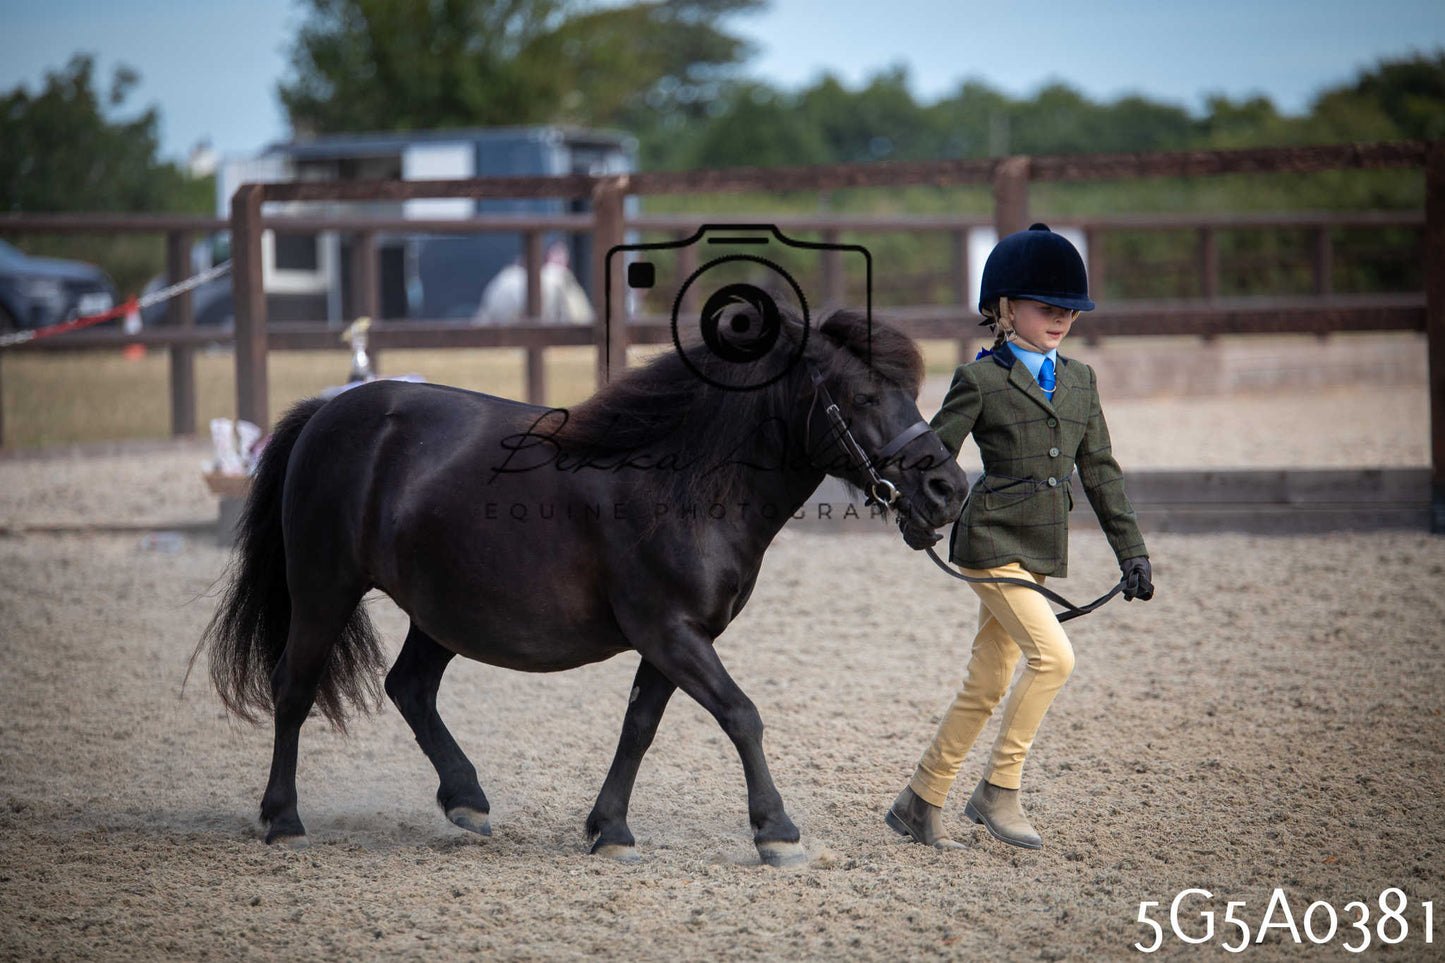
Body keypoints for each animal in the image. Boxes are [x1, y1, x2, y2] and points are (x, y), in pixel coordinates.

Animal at [195, 308, 967, 866]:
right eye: (863, 394)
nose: (948, 489)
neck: (684, 482)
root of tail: (329, 413)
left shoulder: (674, 638)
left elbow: (639, 727)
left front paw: (610, 829)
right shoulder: (671, 632)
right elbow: (741, 715)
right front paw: (776, 831)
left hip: (443, 610)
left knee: (409, 686)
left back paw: (466, 798)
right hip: (323, 588)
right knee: (294, 687)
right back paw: (284, 819)